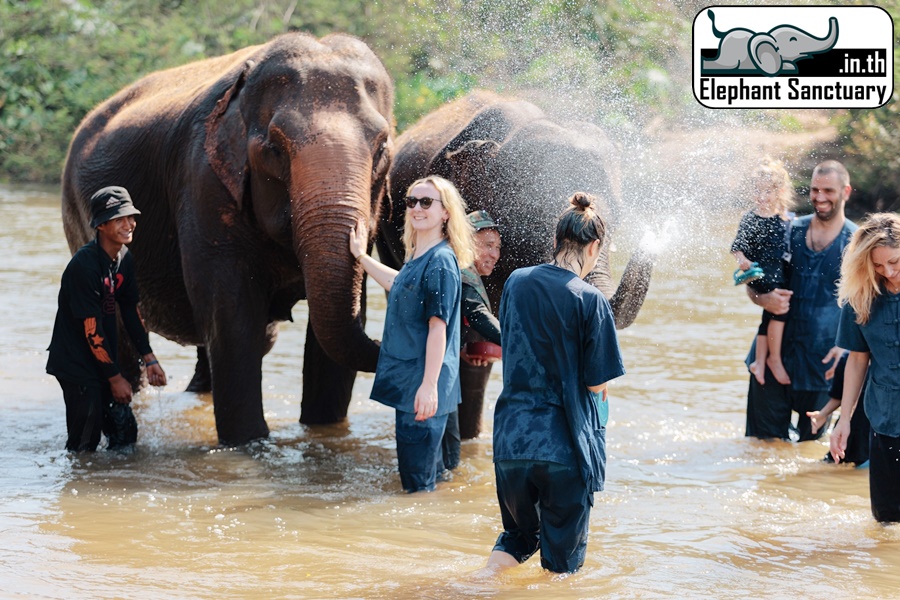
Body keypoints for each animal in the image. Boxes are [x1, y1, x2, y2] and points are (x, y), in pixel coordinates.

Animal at [61, 33, 394, 445]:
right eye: (274, 149)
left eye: (382, 147)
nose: (381, 343)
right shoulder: (204, 183)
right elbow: (232, 317)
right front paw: (248, 442)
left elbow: (336, 326)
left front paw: (324, 433)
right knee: (123, 338)